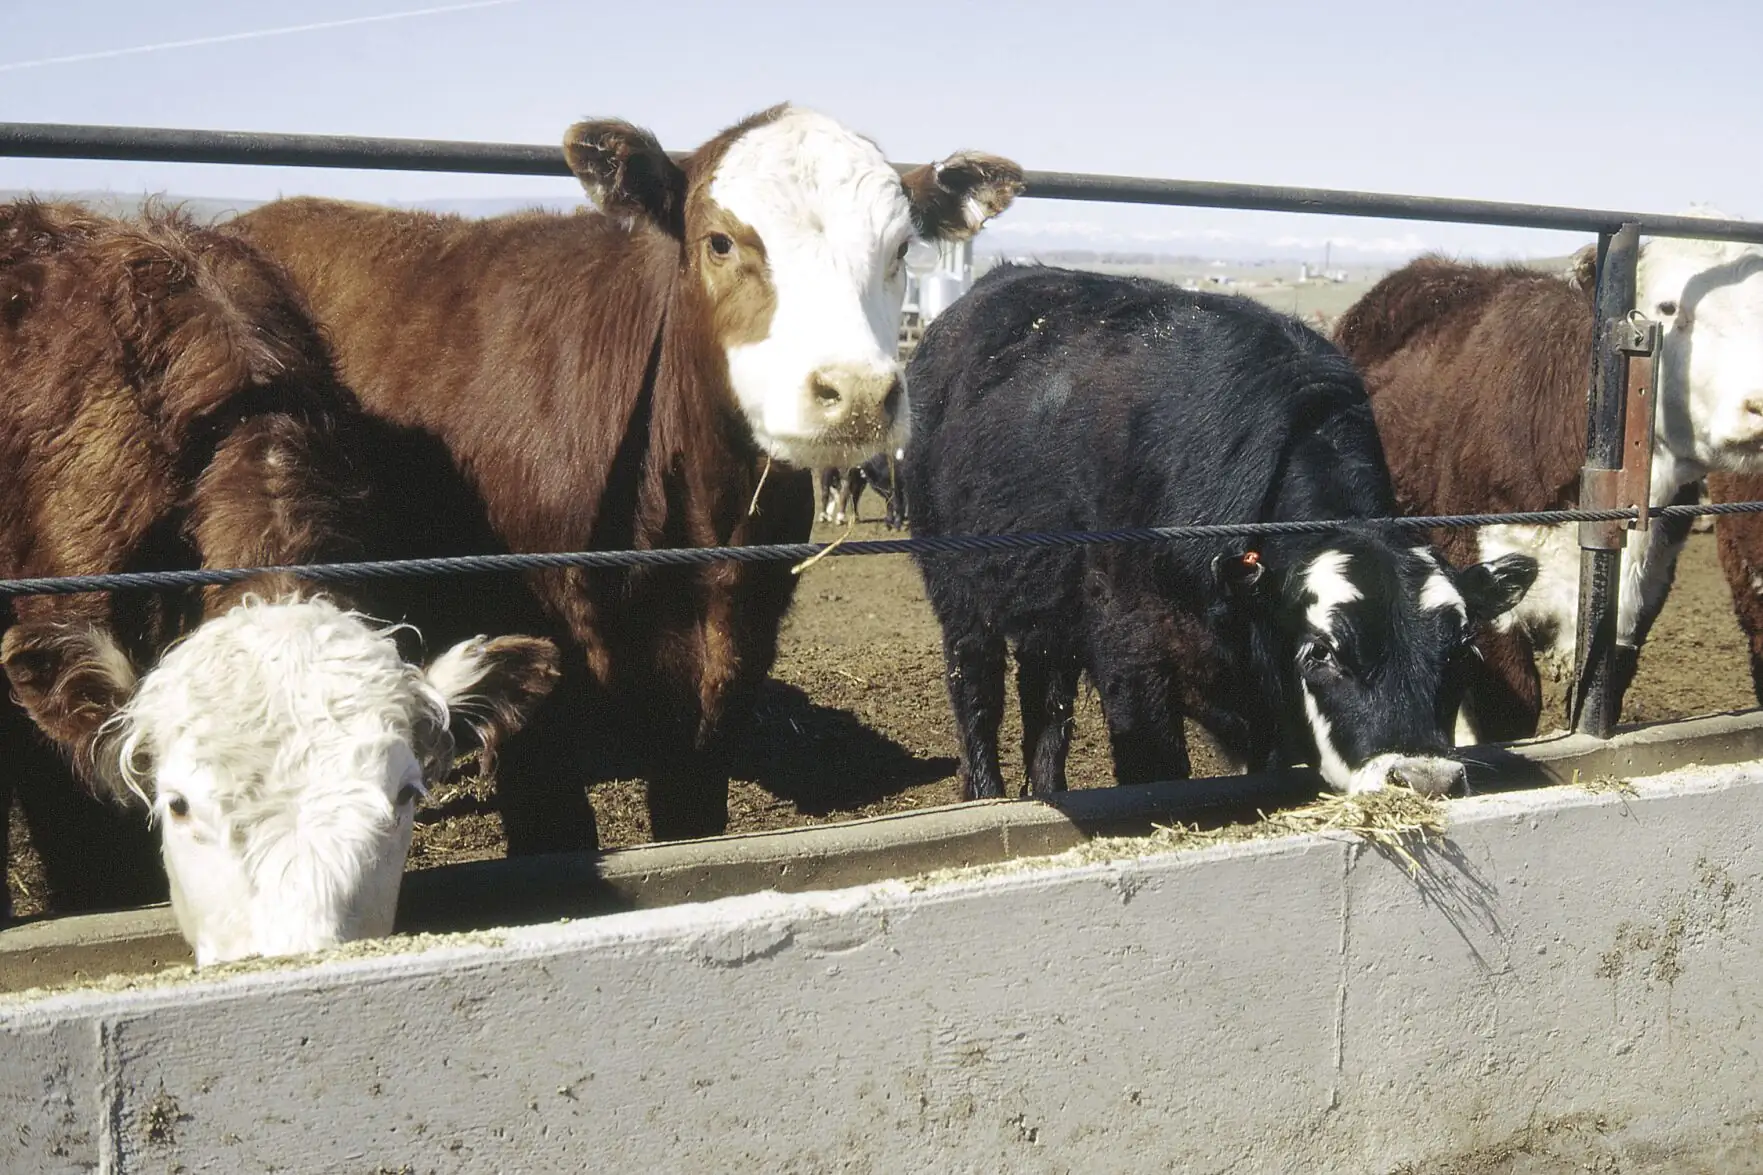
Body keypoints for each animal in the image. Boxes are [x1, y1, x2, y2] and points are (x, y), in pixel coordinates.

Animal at [229, 105, 1023, 847]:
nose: (855, 392)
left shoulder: (722, 684)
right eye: (720, 241)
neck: (694, 532)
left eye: (901, 249)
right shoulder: (539, 717)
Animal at [903, 263, 1537, 800]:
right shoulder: (1131, 659)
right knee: (977, 695)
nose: (1425, 779)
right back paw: (985, 793)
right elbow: (1157, 771)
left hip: (1048, 615)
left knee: (1047, 705)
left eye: (1462, 649)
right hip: (958, 596)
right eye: (1322, 652)